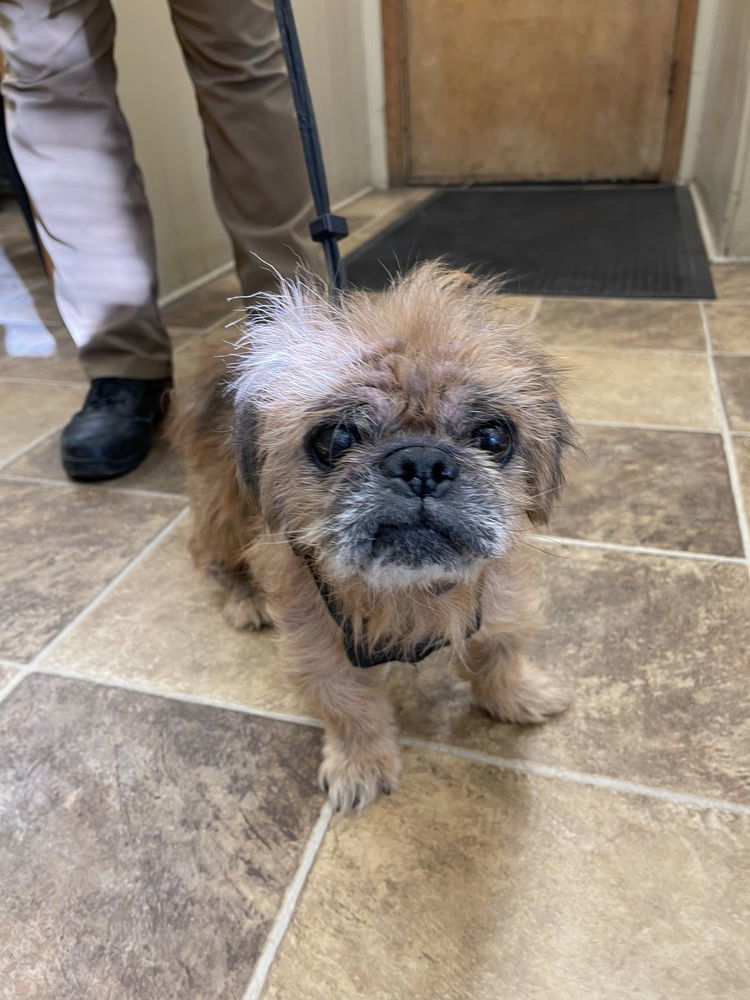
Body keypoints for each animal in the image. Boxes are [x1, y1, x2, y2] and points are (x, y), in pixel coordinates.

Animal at [172, 262, 576, 808]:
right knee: (215, 558)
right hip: (222, 508)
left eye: (494, 436)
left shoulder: (497, 602)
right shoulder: (320, 648)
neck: (409, 594)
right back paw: (246, 597)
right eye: (335, 438)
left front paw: (519, 697)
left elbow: (499, 656)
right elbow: (351, 710)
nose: (423, 463)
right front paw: (360, 764)